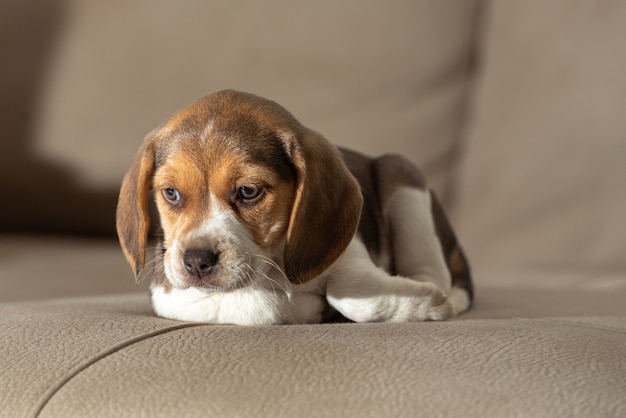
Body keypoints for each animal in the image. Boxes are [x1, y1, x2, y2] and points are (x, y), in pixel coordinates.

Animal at [116, 90, 472, 326]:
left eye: (248, 191)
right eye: (171, 193)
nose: (197, 261)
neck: (269, 268)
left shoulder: (351, 249)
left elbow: (349, 292)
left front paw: (422, 302)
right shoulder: (170, 294)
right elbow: (251, 306)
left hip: (404, 178)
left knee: (437, 273)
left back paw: (438, 295)